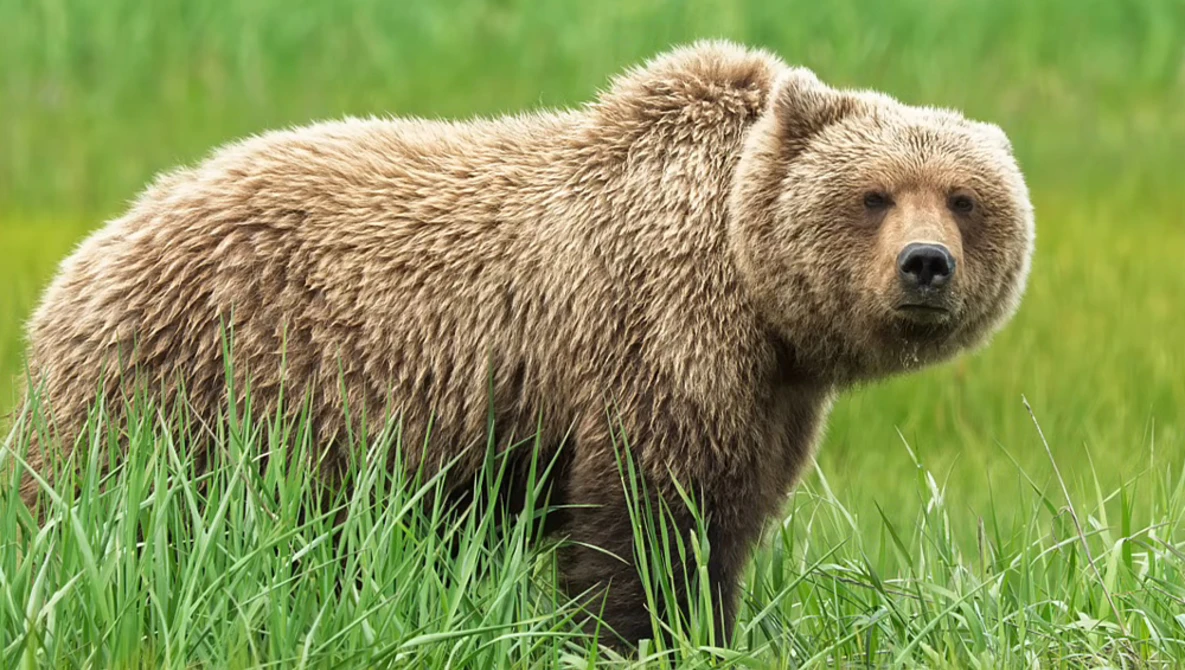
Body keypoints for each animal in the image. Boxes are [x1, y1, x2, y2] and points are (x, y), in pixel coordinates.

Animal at [17, 40, 1034, 648]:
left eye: (963, 197)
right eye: (872, 193)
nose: (924, 266)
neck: (750, 282)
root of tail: (85, 256)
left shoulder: (769, 391)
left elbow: (725, 518)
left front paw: (709, 628)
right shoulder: (658, 334)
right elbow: (646, 517)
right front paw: (638, 635)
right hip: (189, 386)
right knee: (113, 519)